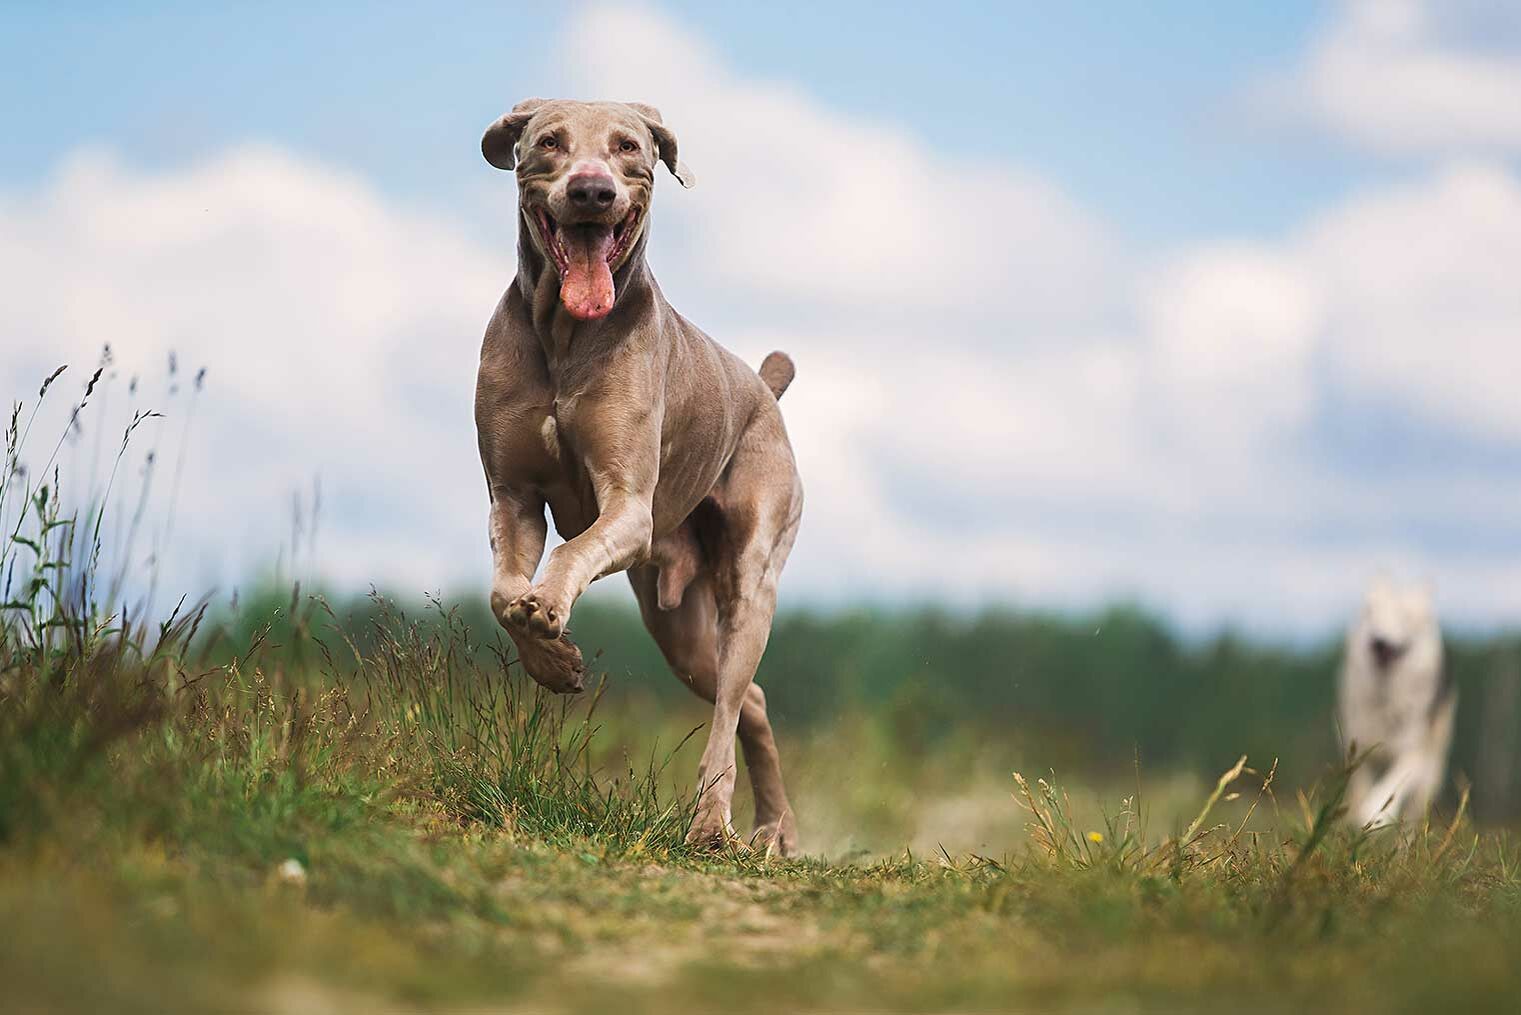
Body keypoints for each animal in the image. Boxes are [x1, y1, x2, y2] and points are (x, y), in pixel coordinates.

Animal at [1338, 575, 1454, 827]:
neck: (1385, 699)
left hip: (1431, 770)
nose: (1378, 641)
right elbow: (1360, 786)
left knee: (1413, 815)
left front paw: (1375, 815)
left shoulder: (1414, 753)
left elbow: (1389, 787)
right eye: (1371, 613)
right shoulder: (1357, 745)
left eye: (1406, 618)